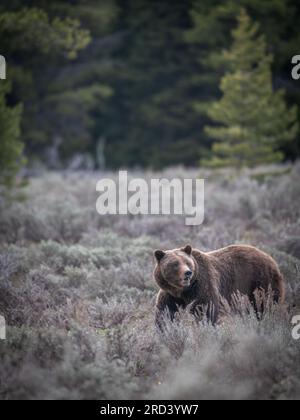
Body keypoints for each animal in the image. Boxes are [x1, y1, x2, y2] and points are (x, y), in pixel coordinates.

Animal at [154, 243, 284, 328]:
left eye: (187, 262)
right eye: (175, 264)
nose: (187, 273)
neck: (183, 291)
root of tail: (270, 257)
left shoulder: (202, 285)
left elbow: (206, 310)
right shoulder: (170, 295)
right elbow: (165, 313)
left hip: (261, 281)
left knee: (266, 304)